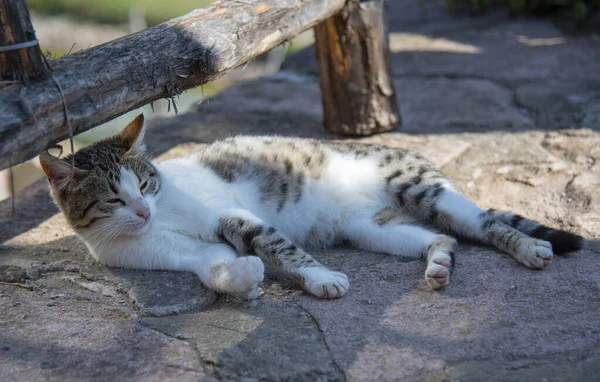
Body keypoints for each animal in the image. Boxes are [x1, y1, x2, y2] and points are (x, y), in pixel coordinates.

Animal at [38, 115, 584, 300]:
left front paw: (321, 278)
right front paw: (243, 279)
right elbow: (215, 266)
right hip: (375, 228)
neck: (155, 229)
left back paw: (529, 248)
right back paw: (438, 268)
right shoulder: (175, 253)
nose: (143, 212)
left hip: (422, 191)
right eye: (115, 199)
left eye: (148, 184)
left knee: (486, 222)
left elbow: (276, 244)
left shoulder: (229, 215)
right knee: (442, 237)